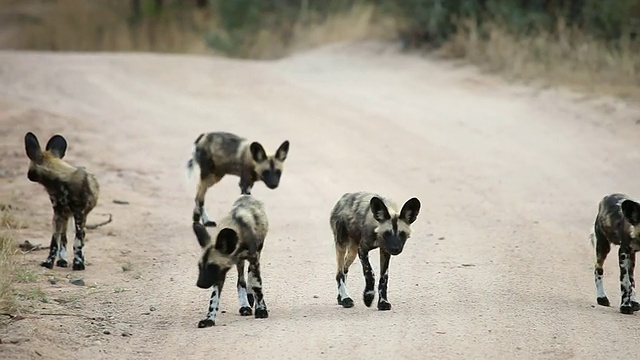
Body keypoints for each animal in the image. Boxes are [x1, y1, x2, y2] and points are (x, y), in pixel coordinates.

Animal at [23, 131, 99, 270]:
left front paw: (78, 263)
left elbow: (78, 242)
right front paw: (49, 262)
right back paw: (62, 260)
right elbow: (54, 242)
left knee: (80, 238)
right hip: (64, 215)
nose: (28, 176)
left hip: (79, 216)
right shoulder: (58, 213)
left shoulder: (79, 214)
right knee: (63, 239)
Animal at [191, 195, 268, 328]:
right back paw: (245, 306)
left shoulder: (254, 259)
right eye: (200, 267)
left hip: (254, 258)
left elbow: (257, 286)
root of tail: (247, 196)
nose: (199, 284)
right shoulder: (219, 274)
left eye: (212, 266)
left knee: (251, 278)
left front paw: (261, 310)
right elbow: (214, 299)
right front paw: (209, 319)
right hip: (240, 262)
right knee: (241, 282)